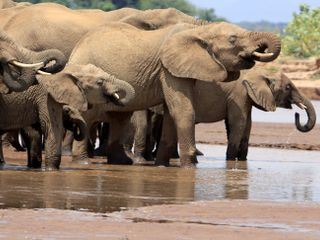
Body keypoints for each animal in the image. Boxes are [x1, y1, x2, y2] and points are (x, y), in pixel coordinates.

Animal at [0, 62, 135, 170]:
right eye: (100, 82)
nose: (115, 98)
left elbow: (36, 132)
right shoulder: (46, 97)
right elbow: (52, 129)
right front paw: (52, 170)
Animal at [67, 20, 280, 167]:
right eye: (233, 40)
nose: (261, 49)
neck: (198, 30)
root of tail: (76, 48)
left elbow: (172, 113)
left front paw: (162, 165)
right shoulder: (168, 69)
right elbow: (183, 110)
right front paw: (189, 167)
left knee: (120, 116)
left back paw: (122, 163)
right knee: (89, 115)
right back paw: (83, 162)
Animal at [128, 67, 318, 165]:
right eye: (288, 87)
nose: (297, 113)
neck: (260, 71)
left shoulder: (246, 98)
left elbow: (247, 125)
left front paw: (242, 160)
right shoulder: (238, 95)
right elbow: (238, 124)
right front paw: (232, 161)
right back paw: (141, 160)